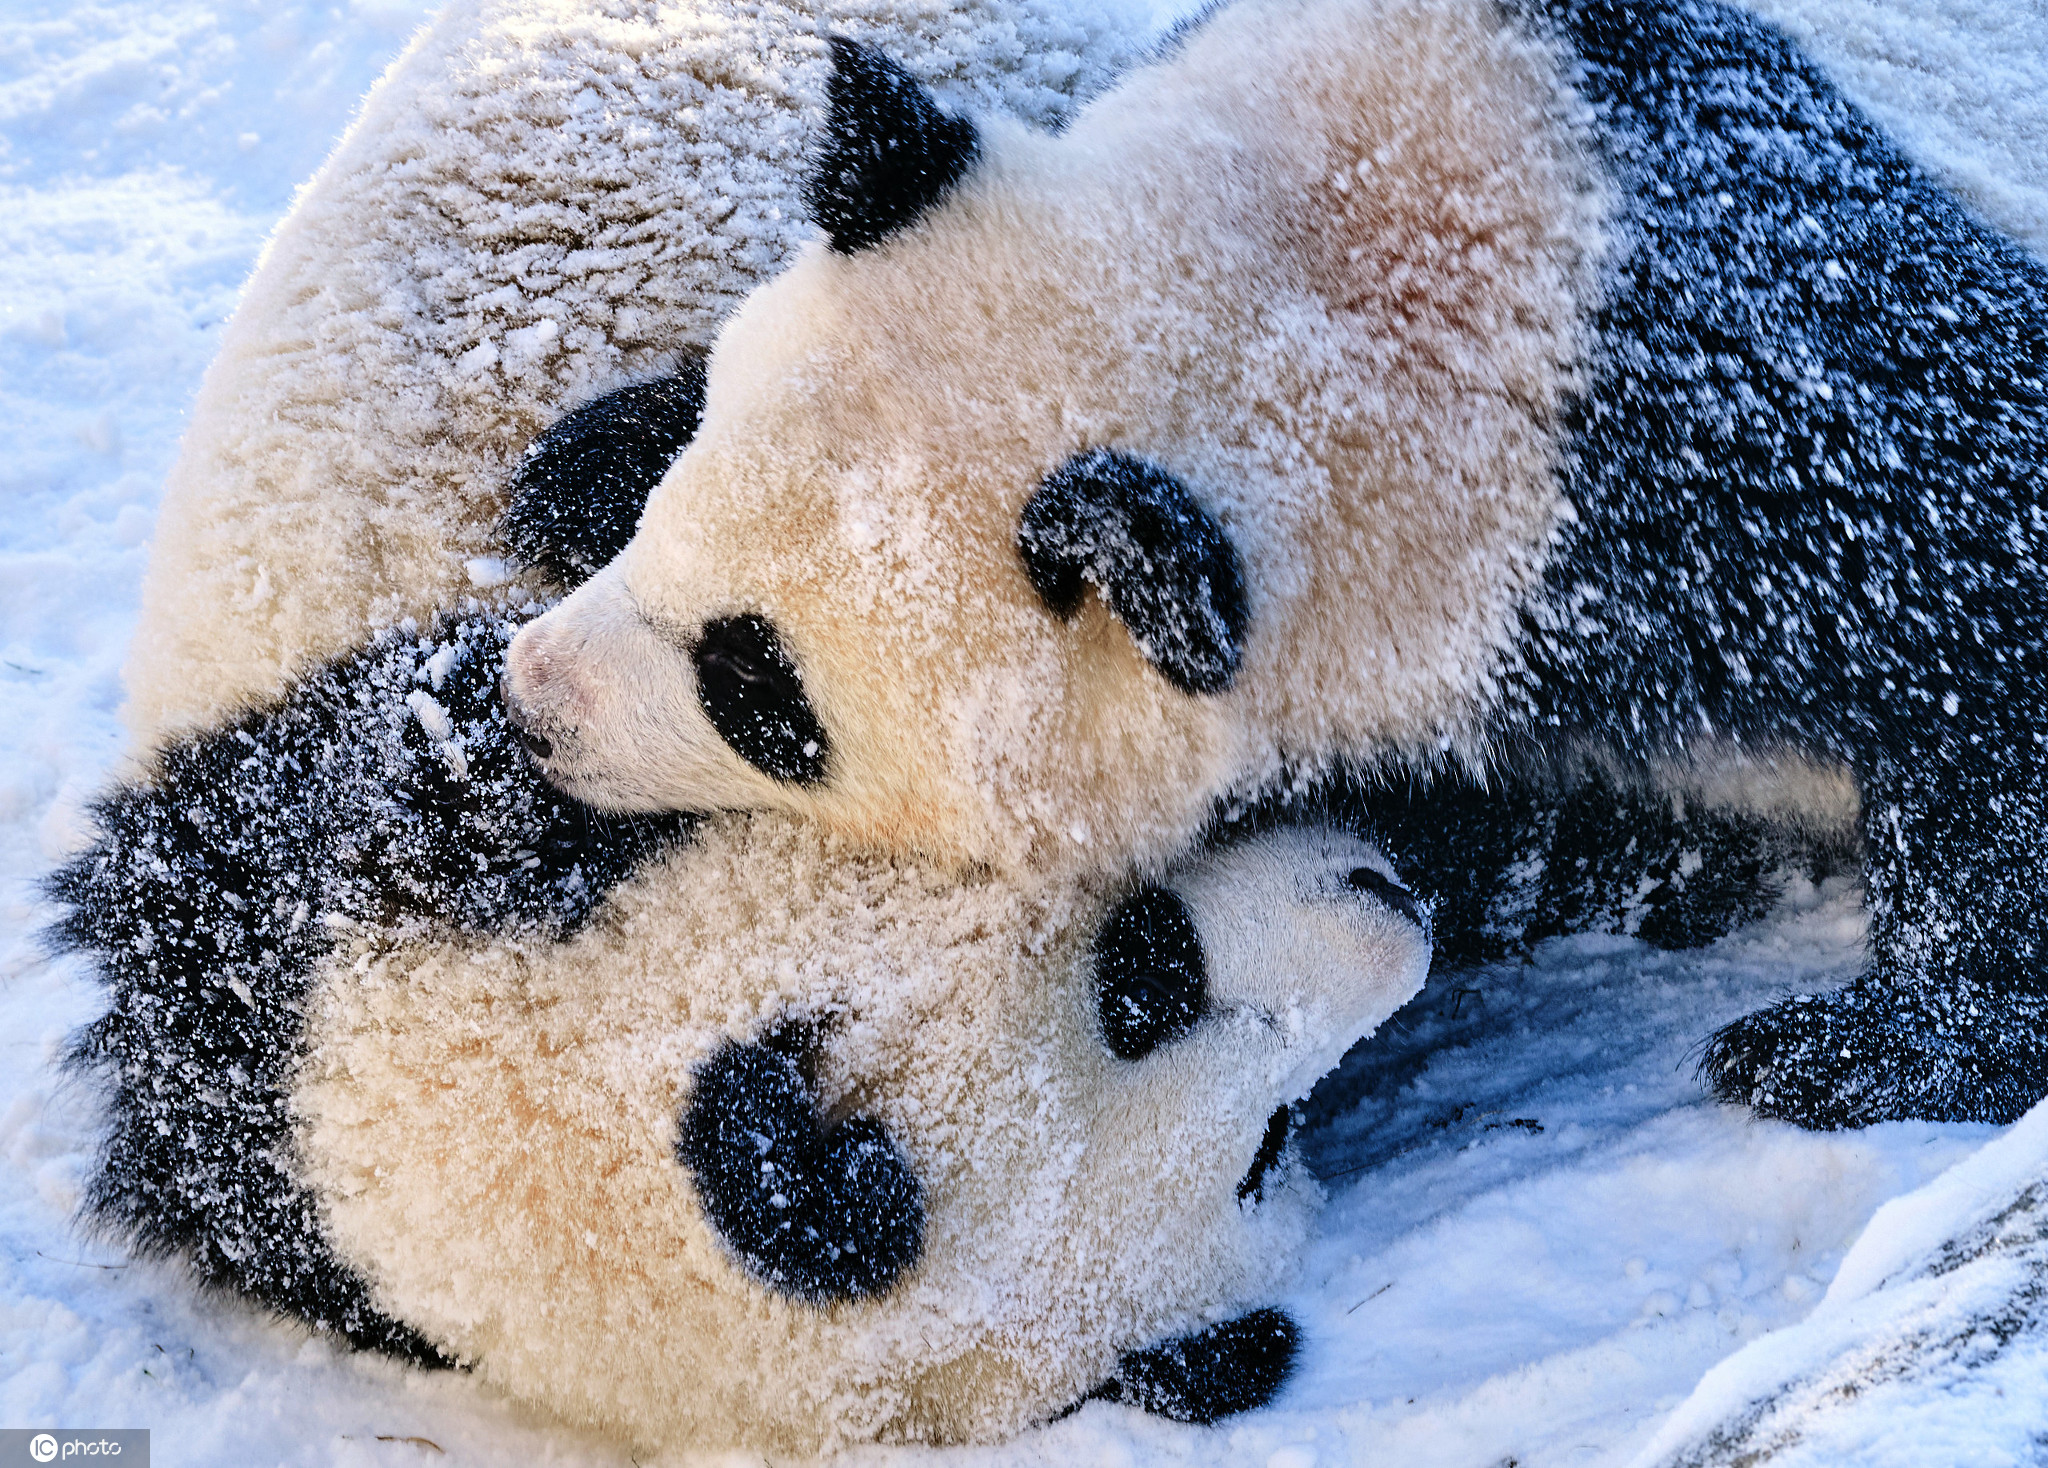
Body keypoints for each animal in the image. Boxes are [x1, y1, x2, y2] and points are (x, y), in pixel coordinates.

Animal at [503, 0, 2048, 1130]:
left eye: (764, 694)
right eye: (676, 510)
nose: (532, 704)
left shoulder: (1740, 447)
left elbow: (1978, 625)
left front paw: (1869, 1046)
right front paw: (583, 461)